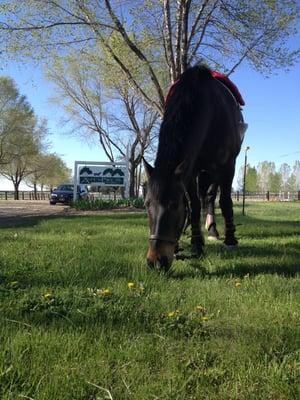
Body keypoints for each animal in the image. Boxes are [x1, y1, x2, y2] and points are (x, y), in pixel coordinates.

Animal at [144, 65, 243, 272]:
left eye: (174, 205)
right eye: (147, 204)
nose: (155, 261)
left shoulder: (227, 165)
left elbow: (226, 201)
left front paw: (230, 240)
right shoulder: (190, 169)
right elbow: (194, 205)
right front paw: (197, 243)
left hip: (214, 171)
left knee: (211, 197)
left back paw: (214, 232)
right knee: (204, 199)